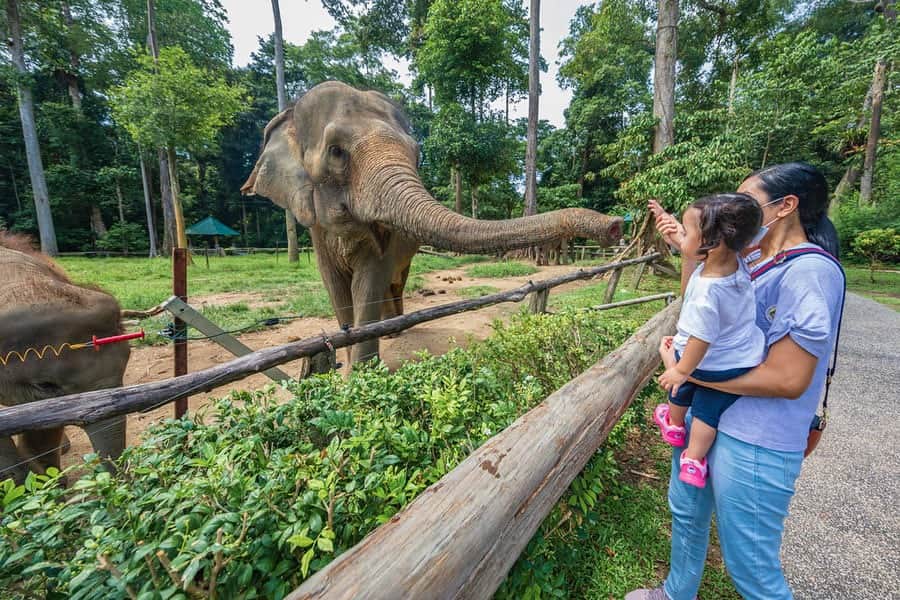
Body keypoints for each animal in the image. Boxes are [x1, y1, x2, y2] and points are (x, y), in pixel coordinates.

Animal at [241, 81, 623, 365]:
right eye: (336, 151)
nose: (615, 225)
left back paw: (393, 330)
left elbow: (369, 279)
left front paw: (360, 372)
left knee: (394, 280)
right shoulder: (316, 229)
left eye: (416, 154)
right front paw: (349, 365)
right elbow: (335, 287)